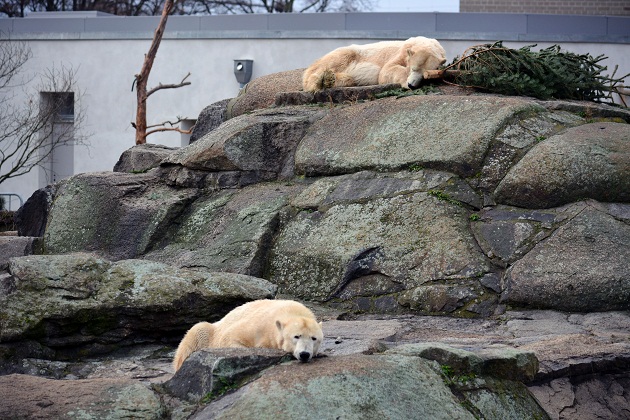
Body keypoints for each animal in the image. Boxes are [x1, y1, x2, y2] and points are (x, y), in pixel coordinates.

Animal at [172, 298, 324, 370]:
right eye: (296, 336)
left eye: (314, 338)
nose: (304, 354)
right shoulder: (258, 325)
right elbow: (230, 338)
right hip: (209, 330)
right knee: (196, 332)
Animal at [302, 36, 446, 92]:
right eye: (413, 69)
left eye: (426, 76)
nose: (411, 85)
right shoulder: (401, 52)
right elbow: (386, 71)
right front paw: (405, 82)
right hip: (348, 53)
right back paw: (321, 81)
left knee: (349, 79)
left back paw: (331, 80)